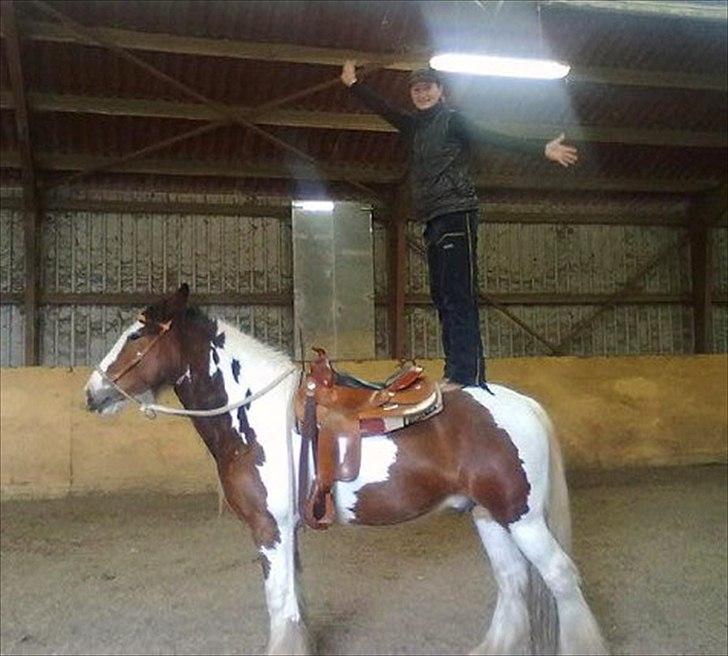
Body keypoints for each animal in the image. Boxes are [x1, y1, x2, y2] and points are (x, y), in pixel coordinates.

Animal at [85, 286, 608, 656]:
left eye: (136, 336)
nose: (92, 393)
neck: (254, 413)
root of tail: (521, 403)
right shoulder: (286, 532)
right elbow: (294, 604)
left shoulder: (269, 529)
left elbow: (279, 603)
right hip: (487, 515)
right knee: (513, 580)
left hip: (522, 516)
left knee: (560, 576)